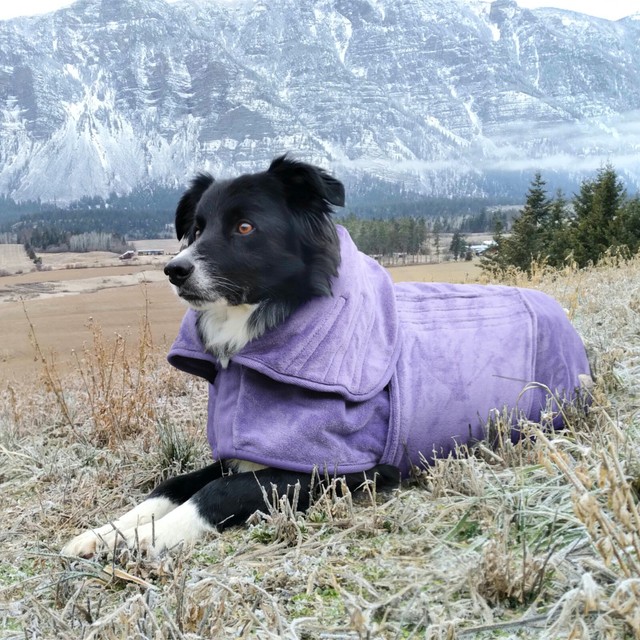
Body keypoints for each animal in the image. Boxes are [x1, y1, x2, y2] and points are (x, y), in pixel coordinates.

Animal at [62, 156, 592, 560]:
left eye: (245, 227)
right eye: (195, 228)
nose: (174, 269)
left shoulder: (341, 468)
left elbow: (215, 492)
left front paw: (146, 538)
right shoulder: (247, 453)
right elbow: (175, 483)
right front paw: (104, 533)